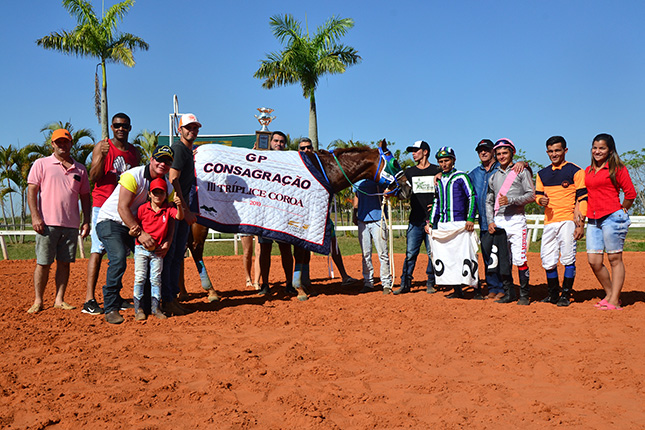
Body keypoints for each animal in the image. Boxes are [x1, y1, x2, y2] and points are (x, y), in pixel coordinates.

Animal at [184, 139, 410, 300]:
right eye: (395, 162)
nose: (407, 188)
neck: (324, 172)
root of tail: (193, 153)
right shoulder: (305, 221)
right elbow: (300, 255)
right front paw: (300, 289)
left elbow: (298, 257)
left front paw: (298, 287)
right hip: (198, 221)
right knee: (195, 249)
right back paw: (211, 291)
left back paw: (182, 293)